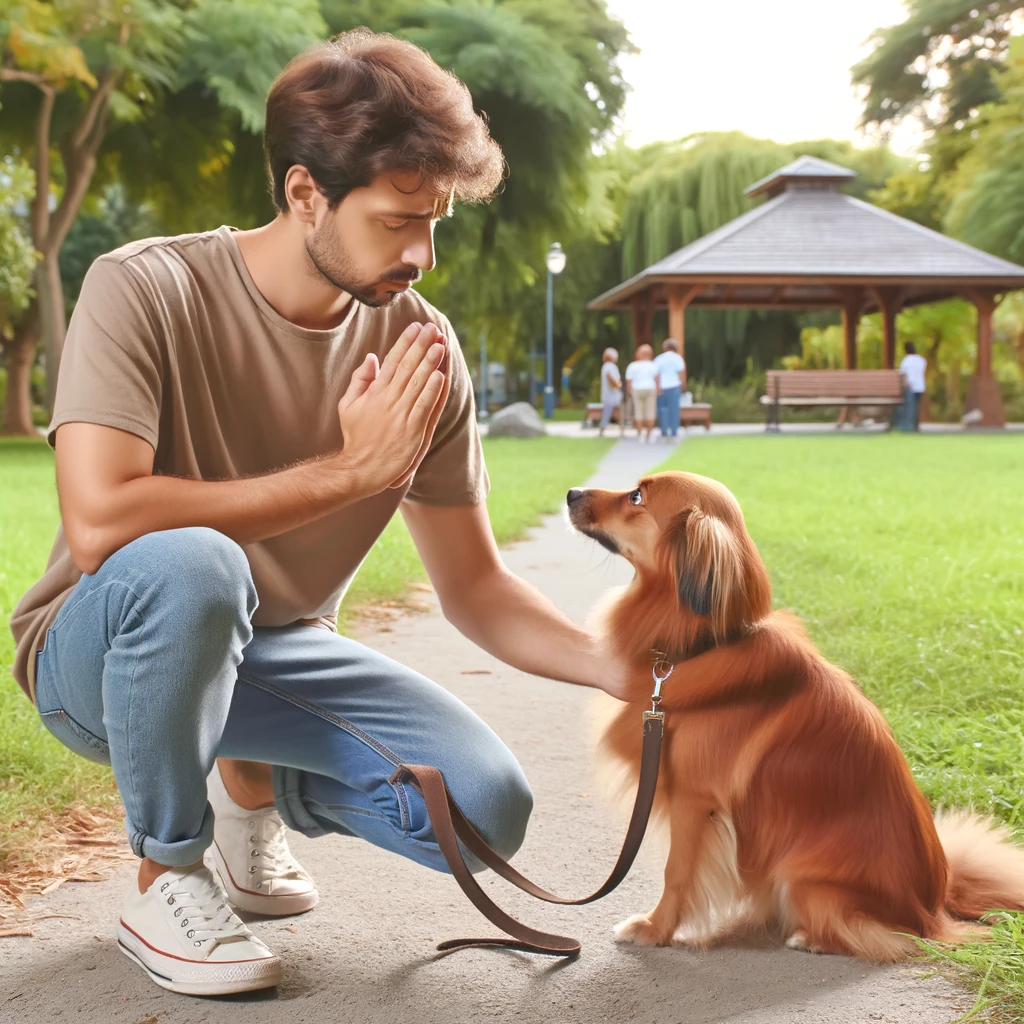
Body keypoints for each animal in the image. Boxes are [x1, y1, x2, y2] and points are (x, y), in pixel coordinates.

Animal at [569, 468, 1024, 958]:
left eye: (636, 497)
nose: (572, 493)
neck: (705, 643)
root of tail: (935, 908)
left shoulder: (695, 801)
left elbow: (677, 873)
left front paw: (656, 930)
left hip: (803, 880)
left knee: (878, 937)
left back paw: (810, 937)